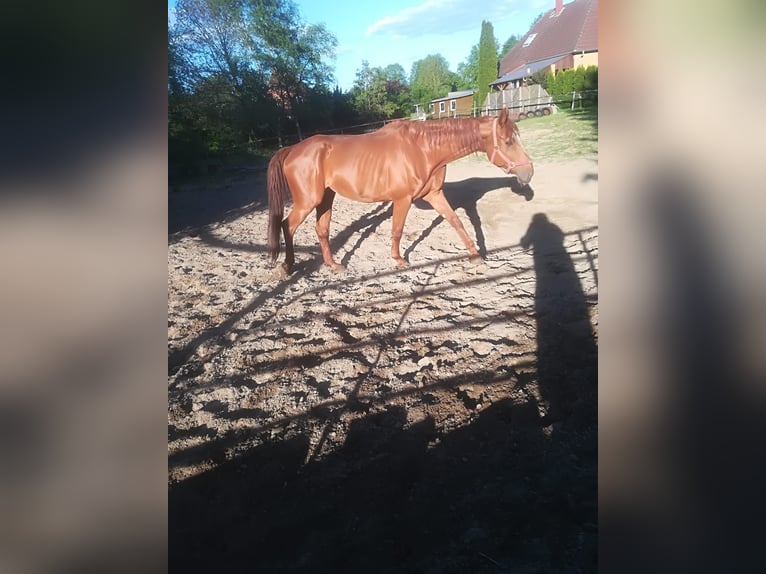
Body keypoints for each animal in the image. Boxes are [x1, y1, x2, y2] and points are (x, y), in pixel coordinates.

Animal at [267, 106, 533, 275]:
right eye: (508, 141)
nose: (528, 173)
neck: (423, 149)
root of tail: (292, 149)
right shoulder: (402, 199)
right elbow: (397, 230)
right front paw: (399, 260)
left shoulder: (435, 195)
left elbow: (456, 221)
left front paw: (475, 255)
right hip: (308, 201)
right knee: (287, 225)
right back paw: (287, 266)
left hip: (326, 198)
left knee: (321, 230)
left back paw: (333, 265)